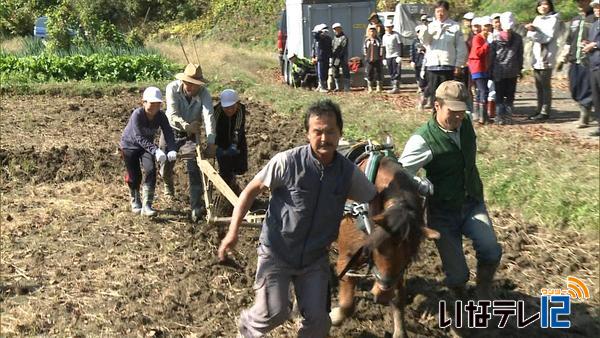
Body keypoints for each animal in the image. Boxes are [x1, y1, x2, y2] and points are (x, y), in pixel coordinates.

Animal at [330, 154, 438, 336]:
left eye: (409, 256)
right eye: (378, 248)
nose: (383, 295)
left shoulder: (397, 274)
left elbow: (399, 298)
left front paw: (400, 331)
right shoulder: (347, 256)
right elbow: (347, 303)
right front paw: (334, 316)